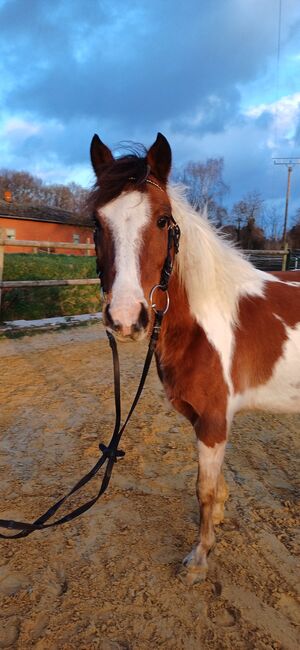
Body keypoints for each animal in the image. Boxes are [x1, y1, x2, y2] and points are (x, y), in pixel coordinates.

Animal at [89, 132, 300, 584]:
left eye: (163, 220)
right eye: (96, 223)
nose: (126, 318)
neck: (207, 318)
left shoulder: (214, 422)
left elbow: (202, 488)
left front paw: (199, 557)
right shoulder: (200, 418)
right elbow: (213, 486)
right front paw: (217, 521)